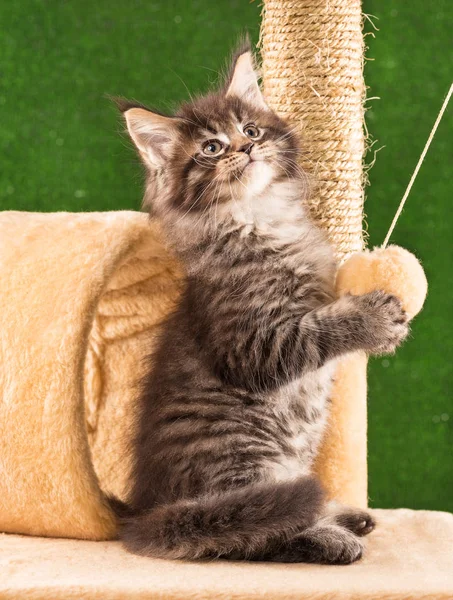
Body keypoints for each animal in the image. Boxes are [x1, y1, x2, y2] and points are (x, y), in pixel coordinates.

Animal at [111, 43, 408, 564]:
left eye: (250, 130)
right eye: (211, 148)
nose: (247, 148)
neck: (259, 217)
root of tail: (145, 516)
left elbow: (324, 308)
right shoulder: (253, 344)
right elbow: (317, 331)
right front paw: (374, 321)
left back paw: (341, 514)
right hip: (244, 453)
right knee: (254, 532)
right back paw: (329, 536)